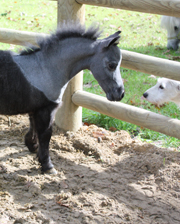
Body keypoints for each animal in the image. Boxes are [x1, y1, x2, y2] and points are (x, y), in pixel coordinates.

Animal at [0, 23, 124, 173]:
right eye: (112, 65)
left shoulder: (35, 109)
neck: (45, 69)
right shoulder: (47, 109)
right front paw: (47, 165)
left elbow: (33, 129)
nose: (120, 94)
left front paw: (32, 146)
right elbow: (45, 135)